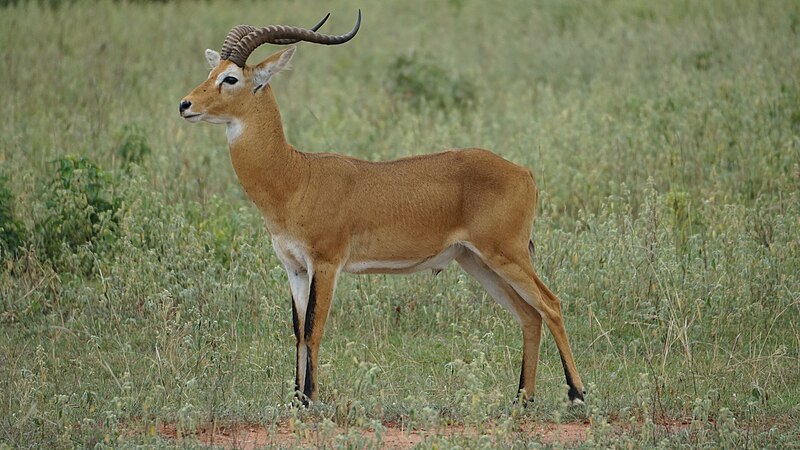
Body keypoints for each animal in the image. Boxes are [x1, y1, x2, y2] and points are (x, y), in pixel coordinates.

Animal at [178, 10, 584, 406]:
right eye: (211, 72)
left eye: (230, 78)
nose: (185, 105)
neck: (296, 176)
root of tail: (523, 172)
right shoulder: (294, 267)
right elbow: (296, 331)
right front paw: (295, 401)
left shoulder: (326, 264)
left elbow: (313, 329)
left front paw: (310, 400)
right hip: (476, 261)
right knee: (529, 315)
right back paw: (522, 400)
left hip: (506, 255)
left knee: (551, 304)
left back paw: (576, 394)